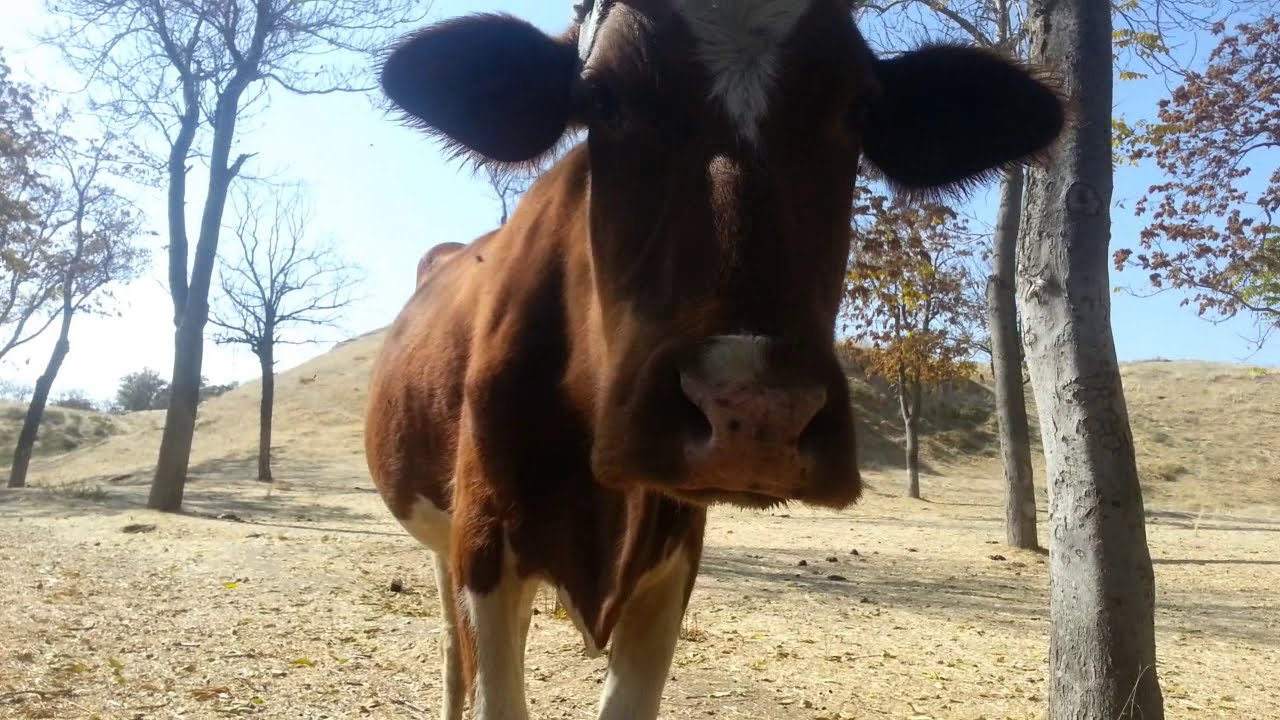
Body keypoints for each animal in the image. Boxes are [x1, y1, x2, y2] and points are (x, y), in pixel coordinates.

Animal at [364, 1, 1066, 719]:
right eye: (602, 98)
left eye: (859, 108)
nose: (756, 414)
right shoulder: (484, 541)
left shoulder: (674, 557)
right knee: (455, 648)